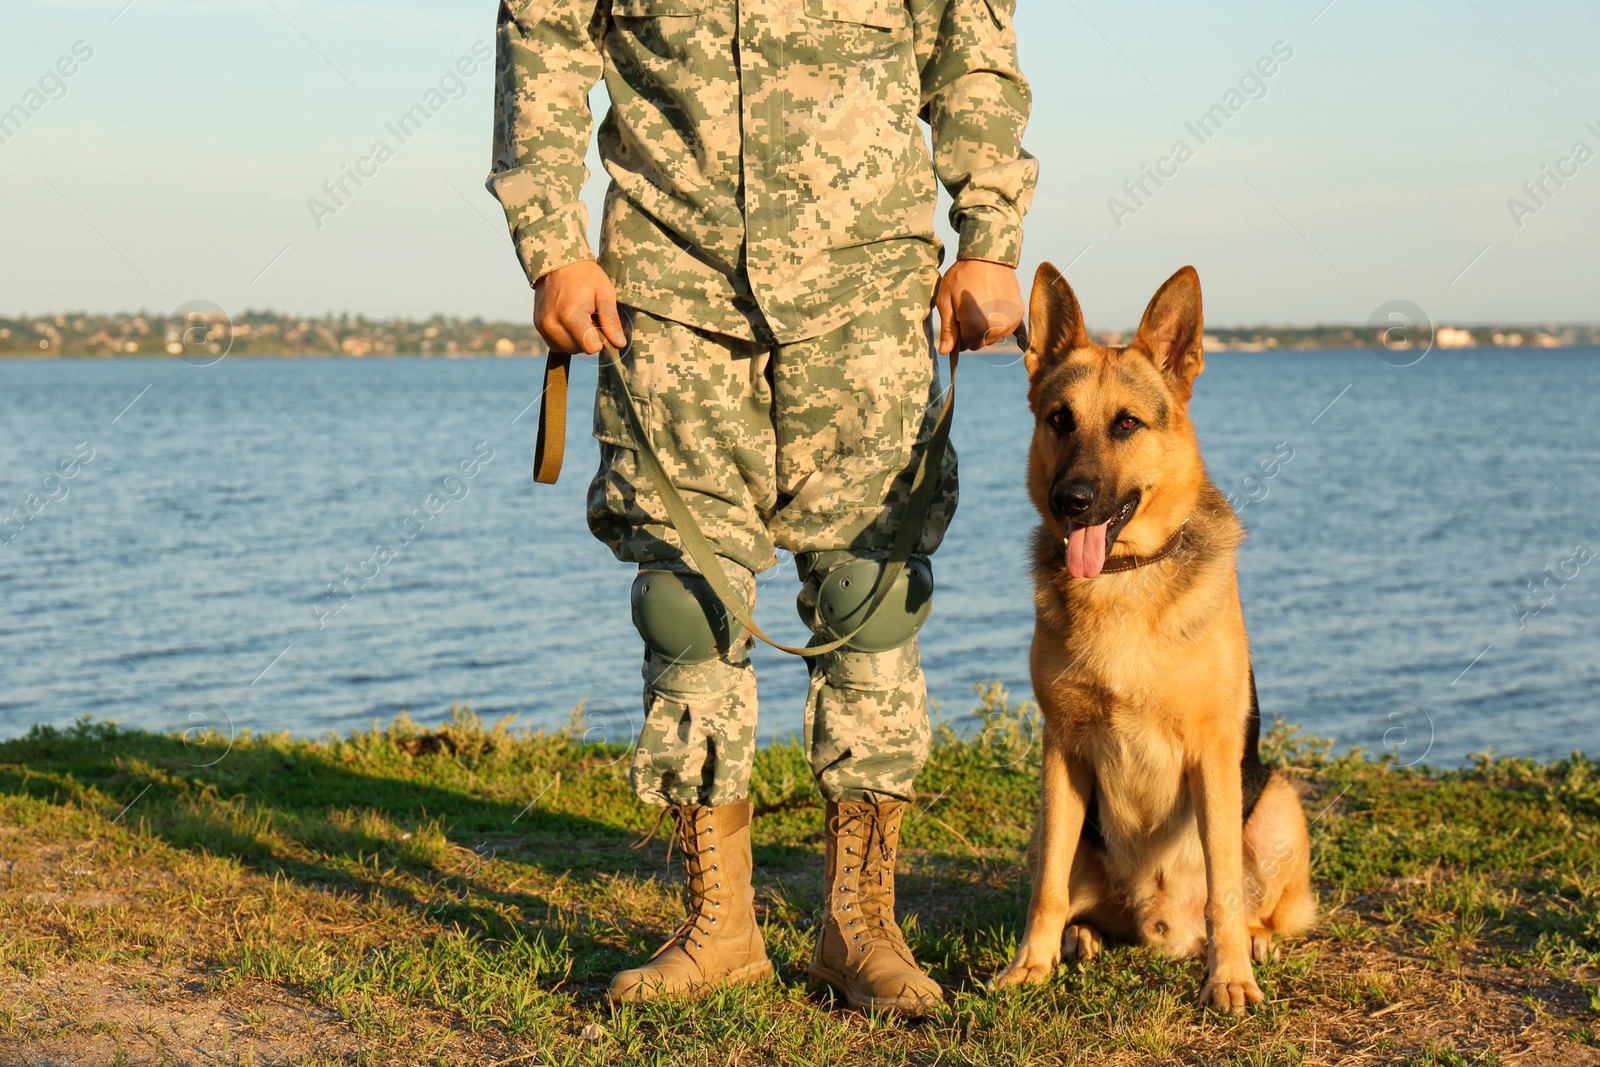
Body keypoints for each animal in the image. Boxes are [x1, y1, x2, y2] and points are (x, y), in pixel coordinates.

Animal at [992, 262, 1318, 1017]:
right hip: (1056, 822)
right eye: (1059, 419)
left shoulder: (1213, 754)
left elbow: (1226, 890)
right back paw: (1079, 939)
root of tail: (1164, 926)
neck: (1122, 579)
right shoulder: (1062, 751)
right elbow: (1046, 890)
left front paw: (1231, 978)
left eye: (1127, 424)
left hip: (1279, 803)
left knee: (1253, 906)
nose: (1072, 502)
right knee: (1076, 897)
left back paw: (1252, 944)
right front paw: (1031, 965)